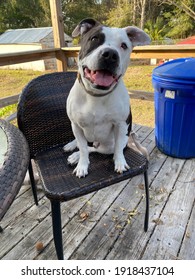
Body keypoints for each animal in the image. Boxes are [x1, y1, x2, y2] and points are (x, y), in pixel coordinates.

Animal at [63, 18, 150, 178]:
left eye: (124, 45)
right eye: (94, 39)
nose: (110, 54)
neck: (96, 95)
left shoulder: (121, 125)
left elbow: (117, 149)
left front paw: (119, 162)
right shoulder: (76, 125)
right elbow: (83, 148)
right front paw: (82, 165)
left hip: (106, 146)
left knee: (95, 149)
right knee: (84, 145)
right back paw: (73, 147)